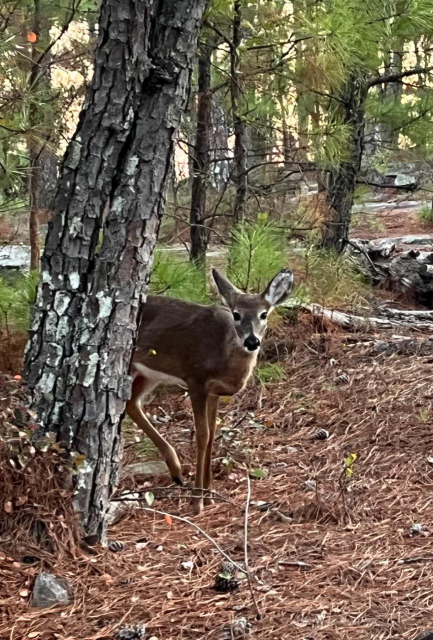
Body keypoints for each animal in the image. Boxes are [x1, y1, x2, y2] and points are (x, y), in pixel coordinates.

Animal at [125, 268, 294, 512]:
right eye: (236, 314)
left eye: (264, 314)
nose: (252, 341)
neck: (222, 355)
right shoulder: (195, 379)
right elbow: (202, 435)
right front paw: (198, 501)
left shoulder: (214, 392)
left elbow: (213, 435)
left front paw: (210, 494)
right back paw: (177, 472)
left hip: (149, 373)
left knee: (131, 403)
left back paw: (176, 472)